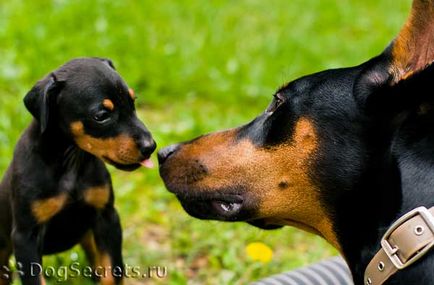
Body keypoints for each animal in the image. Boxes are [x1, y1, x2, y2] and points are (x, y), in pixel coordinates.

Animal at [0, 56, 156, 282]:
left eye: (133, 101)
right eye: (101, 115)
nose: (150, 146)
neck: (71, 163)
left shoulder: (107, 218)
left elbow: (113, 271)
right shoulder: (25, 236)